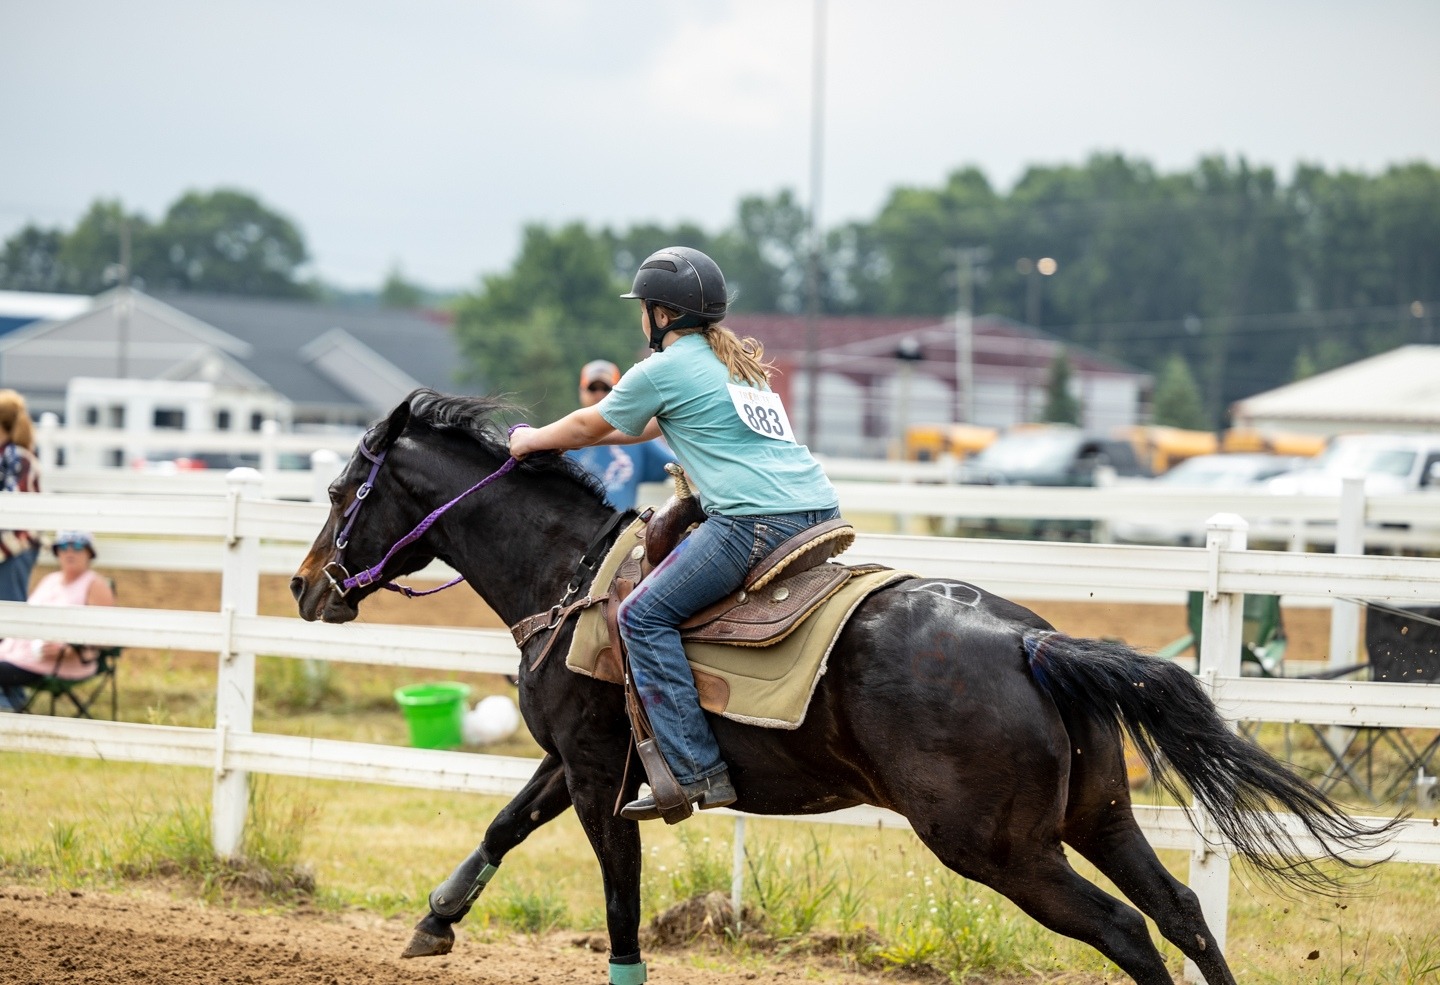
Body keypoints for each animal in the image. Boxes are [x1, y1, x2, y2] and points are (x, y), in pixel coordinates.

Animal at [290, 389, 1396, 985]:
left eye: (342, 490)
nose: (306, 586)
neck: (573, 577)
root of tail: (1031, 641)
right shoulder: (579, 761)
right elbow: (504, 824)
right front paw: (435, 921)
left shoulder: (601, 774)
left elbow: (617, 894)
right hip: (1098, 815)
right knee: (1181, 911)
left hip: (1001, 849)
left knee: (1127, 929)